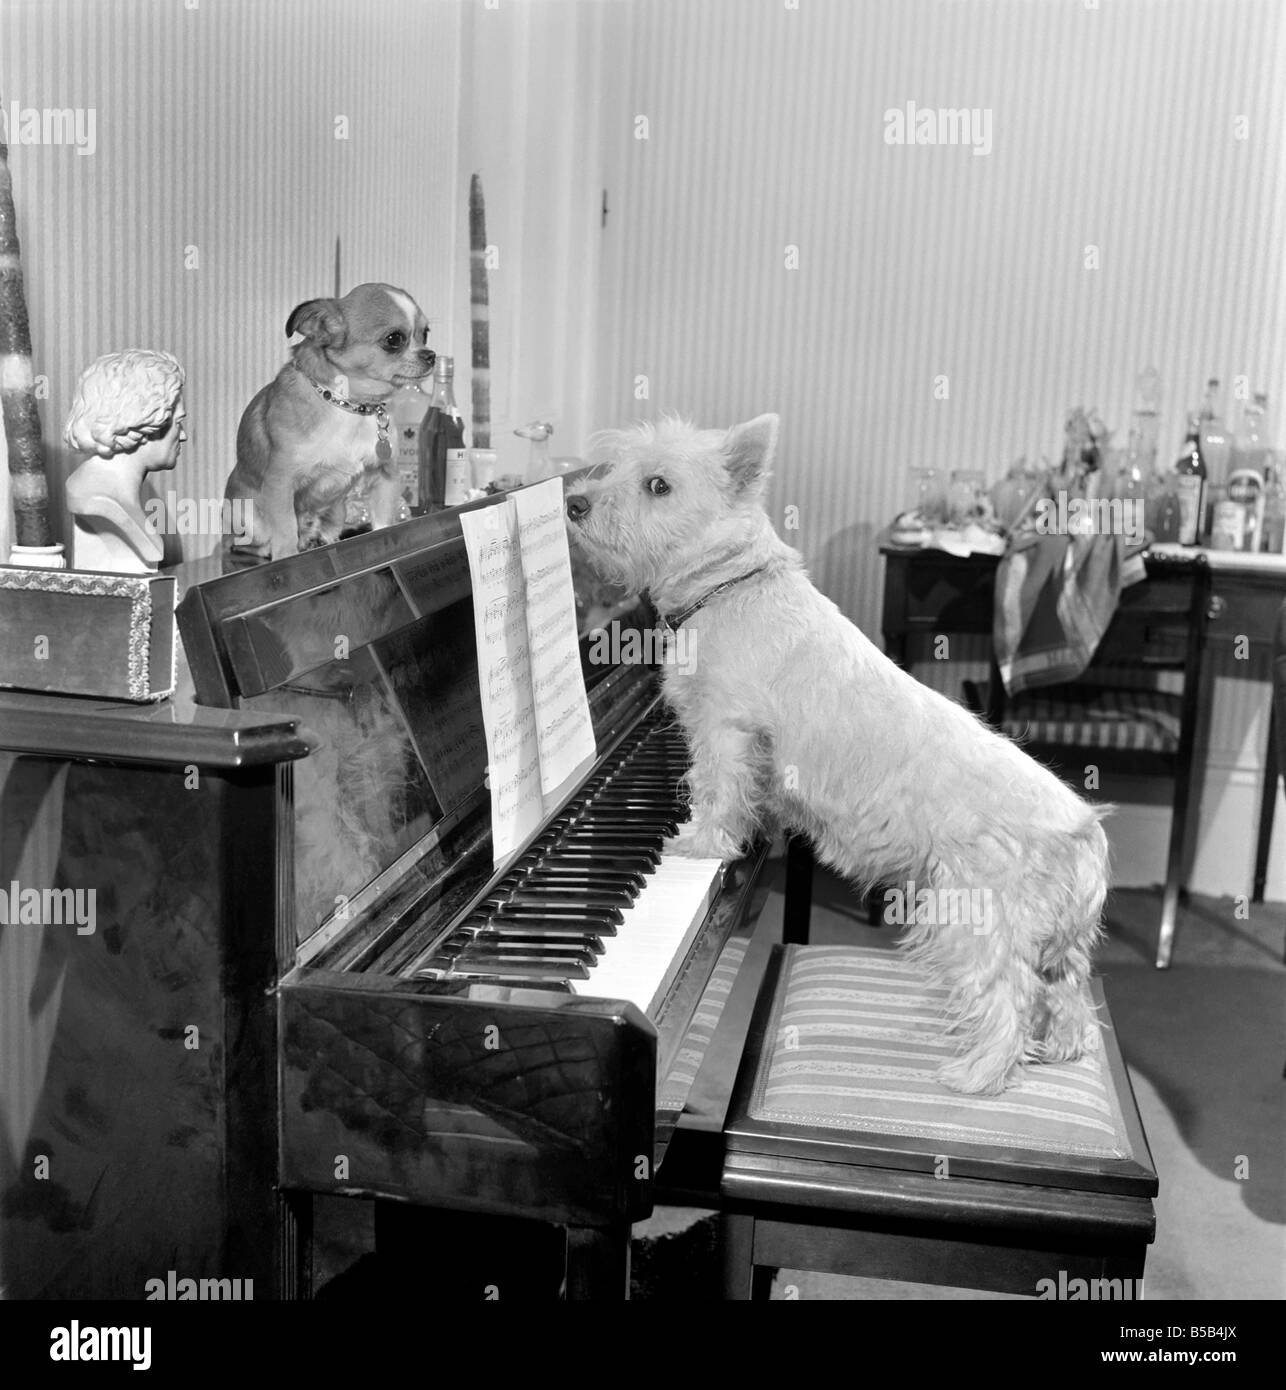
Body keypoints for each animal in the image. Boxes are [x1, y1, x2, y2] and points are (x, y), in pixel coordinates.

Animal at [226, 283, 436, 558]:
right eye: (394, 339)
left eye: (425, 334)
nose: (431, 355)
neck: (351, 407)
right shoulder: (280, 484)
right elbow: (285, 530)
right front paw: (286, 555)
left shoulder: (385, 476)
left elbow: (383, 521)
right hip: (248, 518)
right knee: (252, 544)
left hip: (337, 509)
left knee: (327, 527)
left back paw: (318, 539)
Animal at [567, 414, 1106, 1095]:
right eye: (613, 466)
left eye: (657, 484)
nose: (574, 503)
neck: (728, 582)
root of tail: (1085, 835)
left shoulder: (726, 731)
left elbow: (717, 790)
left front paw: (700, 843)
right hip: (1063, 945)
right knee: (1070, 998)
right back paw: (1061, 1050)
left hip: (974, 923)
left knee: (1009, 1000)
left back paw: (975, 1074)